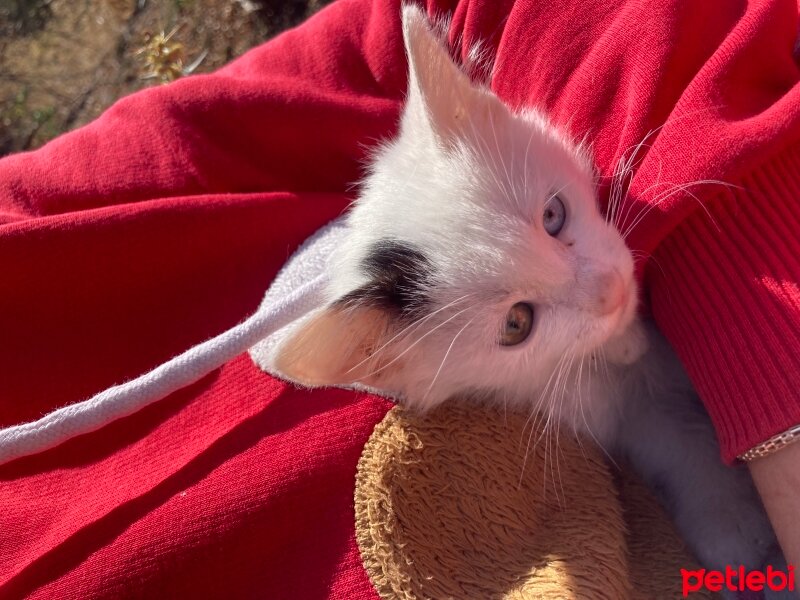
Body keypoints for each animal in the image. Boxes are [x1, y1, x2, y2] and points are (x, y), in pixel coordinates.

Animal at [274, 3, 780, 576]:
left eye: (554, 215)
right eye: (517, 324)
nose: (609, 292)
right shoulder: (594, 401)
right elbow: (668, 436)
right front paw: (733, 524)